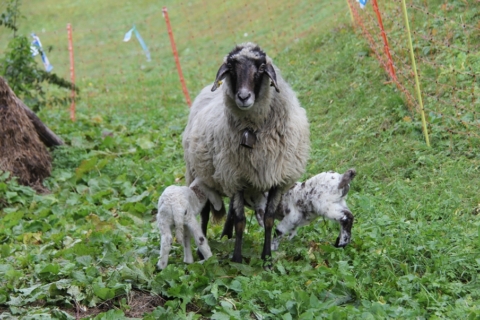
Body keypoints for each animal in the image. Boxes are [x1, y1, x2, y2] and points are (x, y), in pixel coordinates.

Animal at [182, 43, 310, 264]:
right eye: (231, 69)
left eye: (261, 68)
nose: (243, 97)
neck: (252, 130)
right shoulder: (235, 179)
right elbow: (241, 221)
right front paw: (236, 258)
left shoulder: (276, 179)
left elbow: (267, 219)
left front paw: (266, 258)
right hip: (201, 174)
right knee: (206, 213)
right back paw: (202, 250)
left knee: (231, 213)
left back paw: (227, 235)